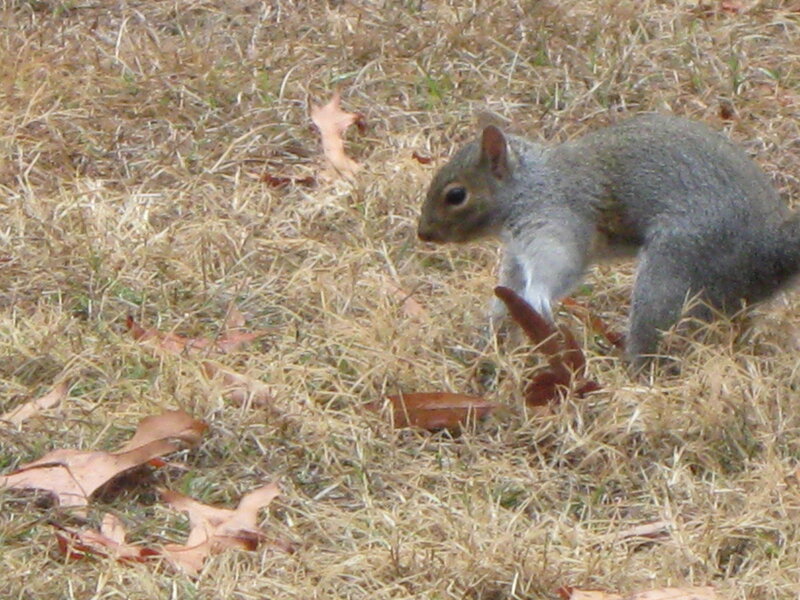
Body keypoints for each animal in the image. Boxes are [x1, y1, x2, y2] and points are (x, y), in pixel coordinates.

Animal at [417, 114, 800, 367]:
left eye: (456, 195)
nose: (424, 233)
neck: (530, 186)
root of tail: (769, 248)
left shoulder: (556, 220)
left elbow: (558, 268)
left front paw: (536, 304)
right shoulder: (516, 254)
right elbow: (508, 289)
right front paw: (492, 332)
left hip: (677, 266)